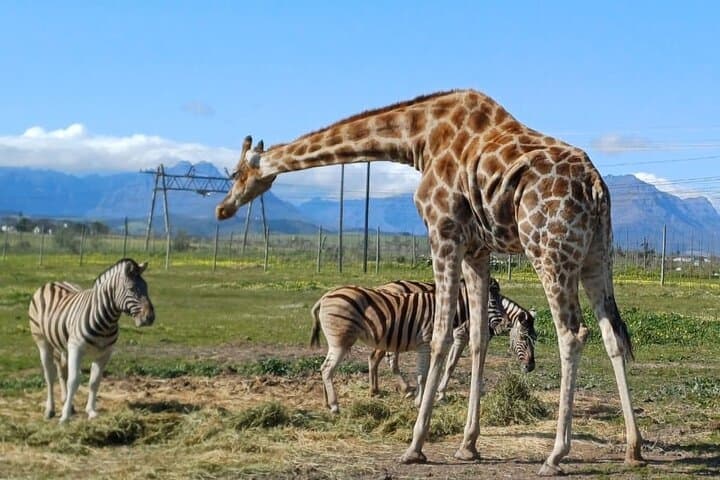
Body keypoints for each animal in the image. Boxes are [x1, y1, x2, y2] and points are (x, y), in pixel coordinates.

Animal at [215, 89, 644, 475]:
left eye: (235, 173)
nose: (222, 208)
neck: (418, 138)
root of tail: (596, 185)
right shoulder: (477, 249)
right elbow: (477, 338)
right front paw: (468, 444)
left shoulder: (443, 232)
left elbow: (439, 337)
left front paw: (415, 445)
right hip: (597, 255)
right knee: (612, 335)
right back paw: (633, 447)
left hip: (549, 251)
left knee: (572, 334)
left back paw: (556, 455)